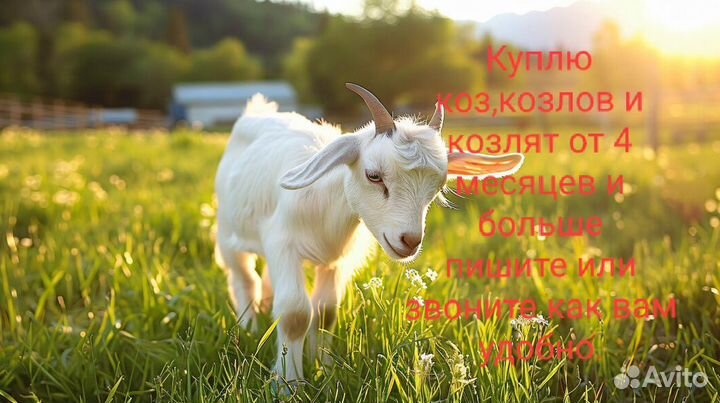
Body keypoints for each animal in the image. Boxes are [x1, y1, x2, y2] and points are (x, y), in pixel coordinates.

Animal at [214, 83, 524, 381]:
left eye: (438, 187)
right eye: (374, 176)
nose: (410, 240)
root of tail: (257, 109)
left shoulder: (337, 260)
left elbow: (325, 312)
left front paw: (324, 369)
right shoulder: (283, 245)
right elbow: (295, 313)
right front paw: (288, 384)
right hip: (228, 235)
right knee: (245, 279)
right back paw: (249, 328)